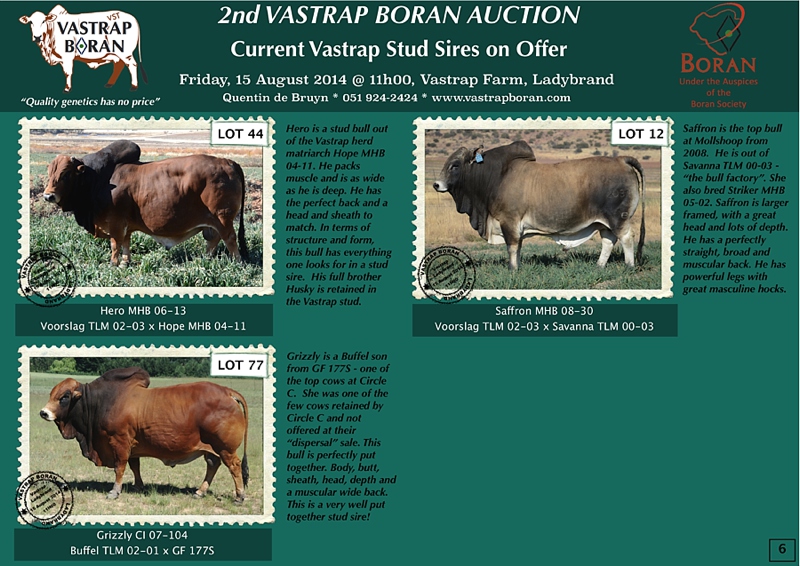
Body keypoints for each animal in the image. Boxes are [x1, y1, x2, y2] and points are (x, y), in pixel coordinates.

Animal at [40, 367, 250, 502]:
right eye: (51, 394)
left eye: (65, 396)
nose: (44, 412)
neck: (98, 402)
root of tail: (227, 391)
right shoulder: (132, 446)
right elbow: (135, 466)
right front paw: (138, 486)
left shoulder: (119, 443)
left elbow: (120, 468)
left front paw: (114, 492)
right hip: (211, 448)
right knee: (213, 465)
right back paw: (200, 491)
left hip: (225, 448)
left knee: (234, 466)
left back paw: (239, 496)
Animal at [43, 142, 248, 266]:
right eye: (50, 173)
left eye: (65, 174)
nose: (48, 196)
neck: (97, 180)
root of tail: (228, 162)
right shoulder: (125, 224)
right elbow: (126, 243)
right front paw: (125, 263)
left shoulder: (115, 223)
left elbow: (115, 244)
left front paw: (113, 264)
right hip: (214, 222)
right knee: (213, 239)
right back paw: (205, 259)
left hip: (223, 217)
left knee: (230, 238)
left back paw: (237, 262)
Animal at [432, 140, 645, 270]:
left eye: (455, 165)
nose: (436, 184)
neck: (496, 176)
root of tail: (620, 159)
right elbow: (518, 247)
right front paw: (517, 266)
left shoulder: (509, 221)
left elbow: (511, 247)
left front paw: (512, 269)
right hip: (604, 222)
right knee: (608, 240)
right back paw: (599, 266)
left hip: (618, 217)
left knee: (626, 238)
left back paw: (629, 266)